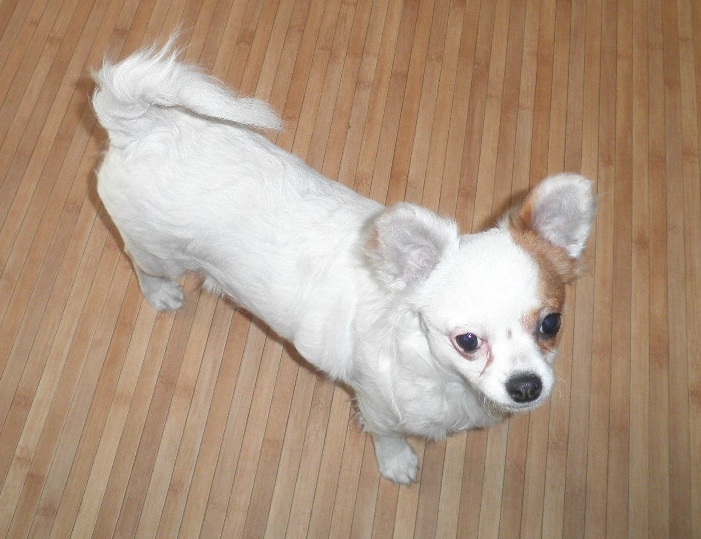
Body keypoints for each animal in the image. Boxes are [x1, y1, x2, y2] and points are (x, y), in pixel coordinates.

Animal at [92, 40, 596, 484]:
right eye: (467, 341)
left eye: (551, 324)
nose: (526, 386)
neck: (445, 378)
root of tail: (142, 129)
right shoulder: (377, 404)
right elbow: (389, 437)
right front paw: (397, 463)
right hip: (157, 250)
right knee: (142, 265)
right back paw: (162, 294)